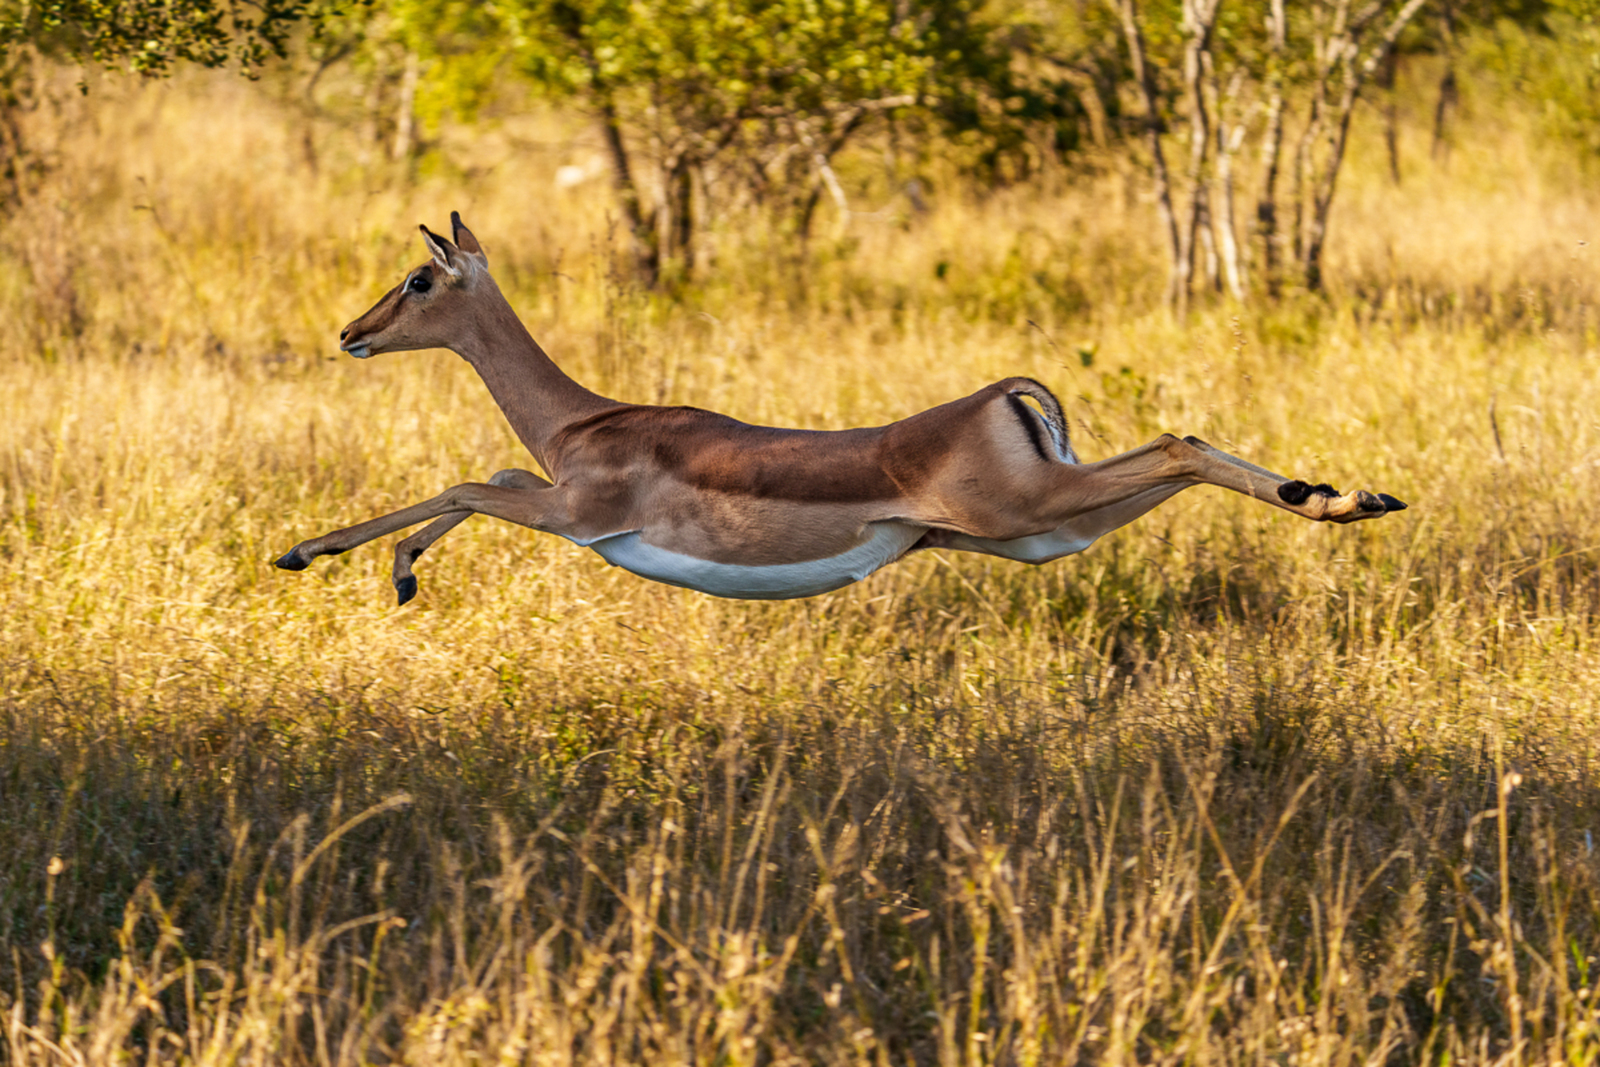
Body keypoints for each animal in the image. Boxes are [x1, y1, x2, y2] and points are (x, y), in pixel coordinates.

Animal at [275, 213, 1407, 604]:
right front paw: (389, 570)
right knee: (1185, 444)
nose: (351, 333)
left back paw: (1343, 498)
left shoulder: (577, 514)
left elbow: (467, 479)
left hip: (1030, 511)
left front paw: (318, 553)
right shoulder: (553, 494)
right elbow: (481, 478)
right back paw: (1353, 496)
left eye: (418, 280)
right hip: (1047, 529)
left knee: (1178, 439)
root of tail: (1002, 397)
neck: (586, 422)